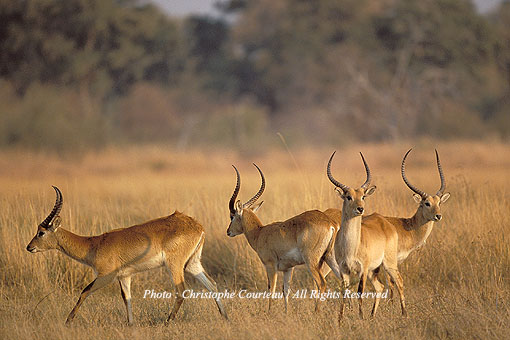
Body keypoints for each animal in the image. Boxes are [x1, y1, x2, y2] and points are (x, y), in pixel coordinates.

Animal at [25, 187, 229, 326]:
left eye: (41, 232)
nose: (29, 247)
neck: (94, 244)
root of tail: (198, 226)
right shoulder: (124, 276)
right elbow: (127, 298)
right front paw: (131, 324)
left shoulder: (106, 276)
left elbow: (84, 291)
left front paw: (68, 321)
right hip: (192, 264)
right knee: (212, 285)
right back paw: (225, 317)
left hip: (175, 265)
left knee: (181, 291)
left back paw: (167, 322)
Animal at [227, 163, 342, 312]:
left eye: (232, 216)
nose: (228, 232)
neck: (260, 232)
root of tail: (330, 223)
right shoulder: (288, 268)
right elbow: (285, 290)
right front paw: (287, 313)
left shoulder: (270, 265)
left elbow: (271, 289)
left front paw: (269, 312)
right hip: (330, 257)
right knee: (345, 280)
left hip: (312, 261)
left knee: (322, 283)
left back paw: (317, 312)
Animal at [326, 151, 406, 318]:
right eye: (348, 196)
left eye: (363, 196)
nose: (360, 209)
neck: (351, 247)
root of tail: (385, 222)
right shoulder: (344, 269)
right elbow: (345, 292)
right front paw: (340, 319)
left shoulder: (362, 268)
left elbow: (359, 292)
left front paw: (360, 317)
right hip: (373, 271)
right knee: (380, 287)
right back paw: (372, 315)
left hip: (388, 264)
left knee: (399, 281)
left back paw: (404, 314)